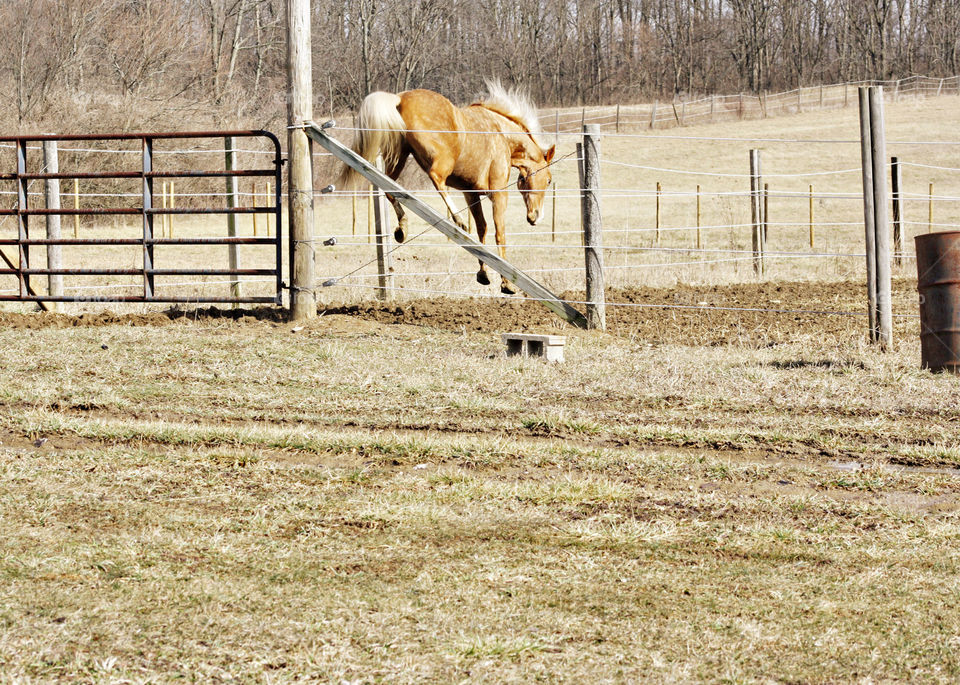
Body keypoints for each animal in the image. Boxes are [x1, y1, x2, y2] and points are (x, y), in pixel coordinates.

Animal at [338, 80, 555, 294]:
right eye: (549, 180)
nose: (536, 216)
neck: (502, 136)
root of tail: (399, 99)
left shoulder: (471, 193)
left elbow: (482, 229)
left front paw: (483, 274)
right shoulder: (498, 194)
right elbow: (499, 233)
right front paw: (506, 283)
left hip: (399, 157)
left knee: (390, 188)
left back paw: (402, 228)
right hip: (441, 160)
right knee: (436, 178)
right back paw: (458, 220)